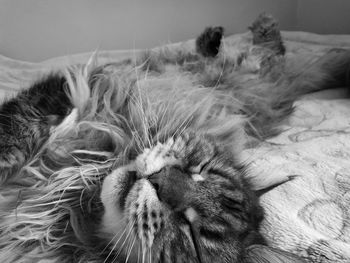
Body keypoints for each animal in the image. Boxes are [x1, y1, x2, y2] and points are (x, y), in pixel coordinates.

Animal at [0, 12, 348, 263]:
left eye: (191, 233)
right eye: (199, 170)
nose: (159, 182)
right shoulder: (79, 89)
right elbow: (20, 121)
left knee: (278, 56)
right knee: (267, 52)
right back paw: (226, 35)